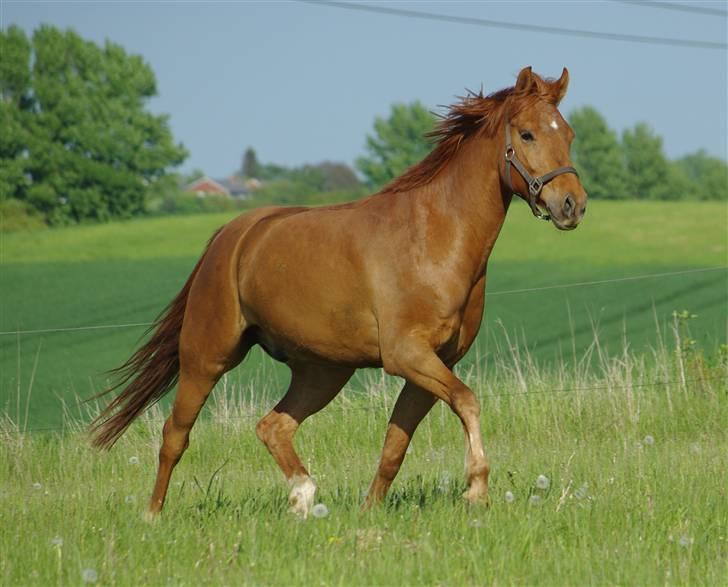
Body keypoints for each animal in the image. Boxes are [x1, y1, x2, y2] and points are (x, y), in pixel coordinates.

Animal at [92, 65, 584, 520]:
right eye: (527, 134)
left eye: (569, 134)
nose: (572, 205)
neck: (433, 238)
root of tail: (231, 235)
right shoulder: (406, 355)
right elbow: (467, 400)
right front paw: (476, 488)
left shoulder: (432, 366)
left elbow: (395, 445)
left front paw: (369, 513)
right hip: (206, 356)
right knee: (175, 434)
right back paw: (153, 516)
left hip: (322, 371)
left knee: (273, 427)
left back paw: (302, 498)